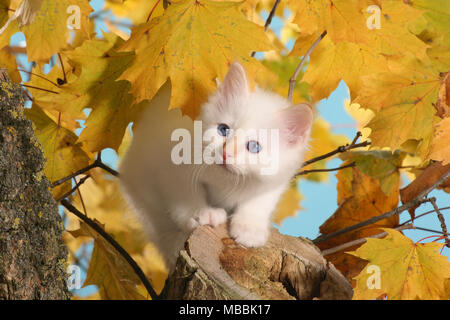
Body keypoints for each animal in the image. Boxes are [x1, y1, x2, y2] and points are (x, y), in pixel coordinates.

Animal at [119, 62, 312, 270]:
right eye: (223, 130)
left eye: (254, 146)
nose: (226, 153)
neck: (226, 180)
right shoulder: (171, 166)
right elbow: (186, 193)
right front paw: (203, 213)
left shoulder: (275, 181)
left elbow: (258, 202)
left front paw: (250, 228)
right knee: (160, 226)